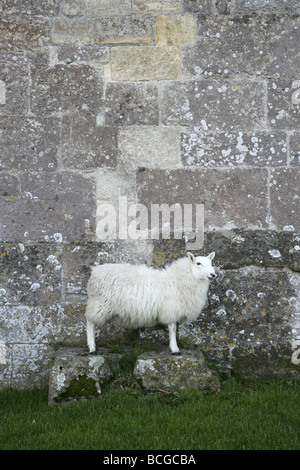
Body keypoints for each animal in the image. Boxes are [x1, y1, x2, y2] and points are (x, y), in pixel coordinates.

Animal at [85, 252, 214, 354]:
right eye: (198, 263)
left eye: (211, 263)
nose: (213, 274)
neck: (178, 280)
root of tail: (94, 271)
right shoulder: (170, 309)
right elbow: (172, 328)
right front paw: (175, 349)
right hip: (98, 304)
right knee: (90, 322)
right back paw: (92, 348)